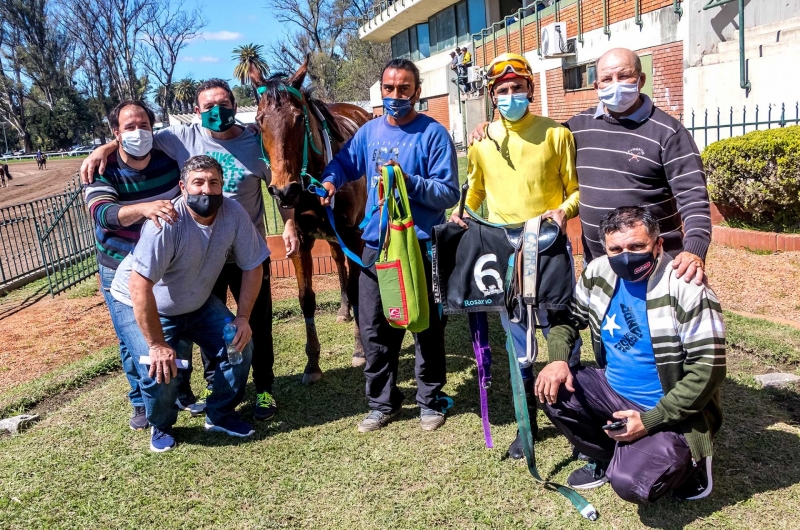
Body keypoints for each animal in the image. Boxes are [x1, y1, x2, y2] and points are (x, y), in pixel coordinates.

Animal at [250, 58, 372, 384]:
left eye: (297, 119)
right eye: (259, 121)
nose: (283, 191)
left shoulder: (353, 234)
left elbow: (357, 288)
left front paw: (360, 350)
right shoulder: (301, 241)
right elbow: (306, 298)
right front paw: (313, 363)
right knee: (338, 262)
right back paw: (343, 311)